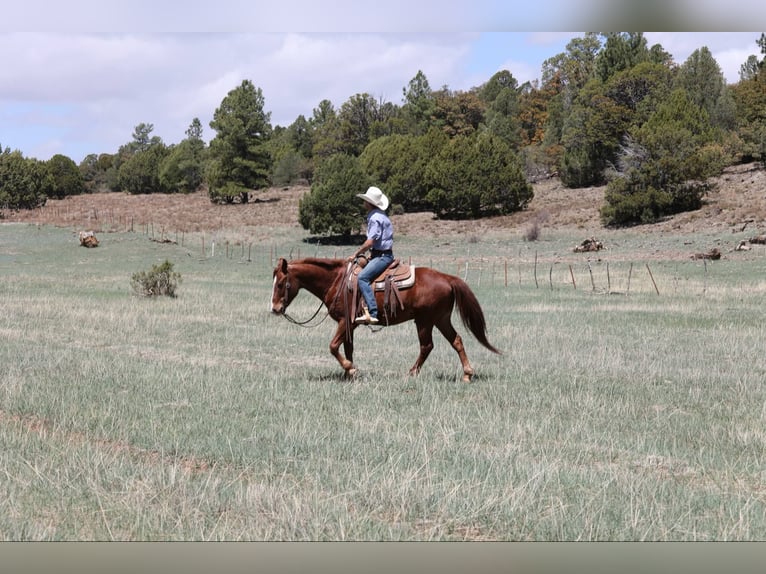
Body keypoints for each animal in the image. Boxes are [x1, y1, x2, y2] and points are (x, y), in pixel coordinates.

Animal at [270, 257, 501, 382]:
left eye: (280, 284)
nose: (275, 308)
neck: (337, 281)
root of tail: (447, 278)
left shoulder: (345, 321)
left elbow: (333, 347)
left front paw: (350, 368)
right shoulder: (350, 326)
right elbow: (348, 348)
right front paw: (349, 373)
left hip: (425, 321)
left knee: (427, 346)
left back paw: (411, 373)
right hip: (441, 319)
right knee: (457, 341)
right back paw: (467, 374)